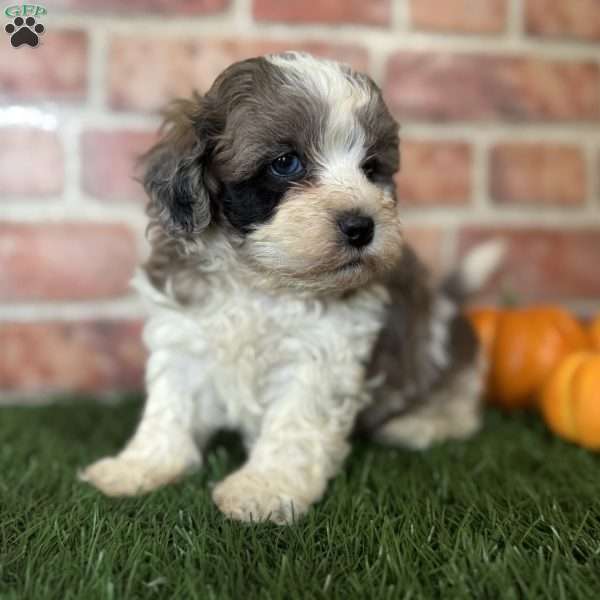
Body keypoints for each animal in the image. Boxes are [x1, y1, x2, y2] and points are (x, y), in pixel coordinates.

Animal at [79, 51, 502, 524]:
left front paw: (265, 488)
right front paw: (141, 465)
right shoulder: (184, 335)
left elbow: (294, 422)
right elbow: (169, 407)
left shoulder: (322, 355)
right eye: (286, 163)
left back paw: (421, 422)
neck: (260, 279)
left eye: (371, 168)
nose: (362, 226)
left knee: (460, 403)